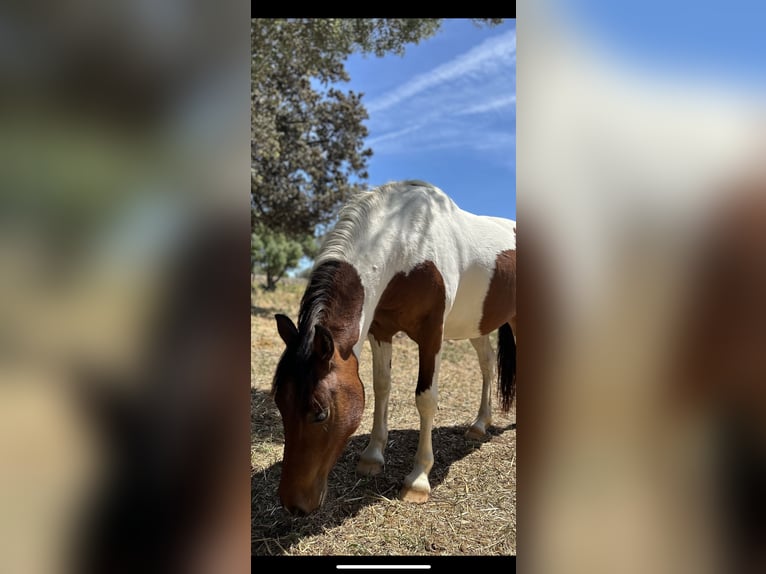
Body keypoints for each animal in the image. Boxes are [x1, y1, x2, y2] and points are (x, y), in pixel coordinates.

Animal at [271, 180, 516, 515]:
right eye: (279, 404)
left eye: (320, 414)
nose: (293, 505)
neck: (409, 239)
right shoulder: (381, 330)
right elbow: (381, 386)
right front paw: (372, 456)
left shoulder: (431, 334)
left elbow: (426, 399)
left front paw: (418, 480)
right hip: (476, 325)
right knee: (487, 364)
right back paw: (479, 425)